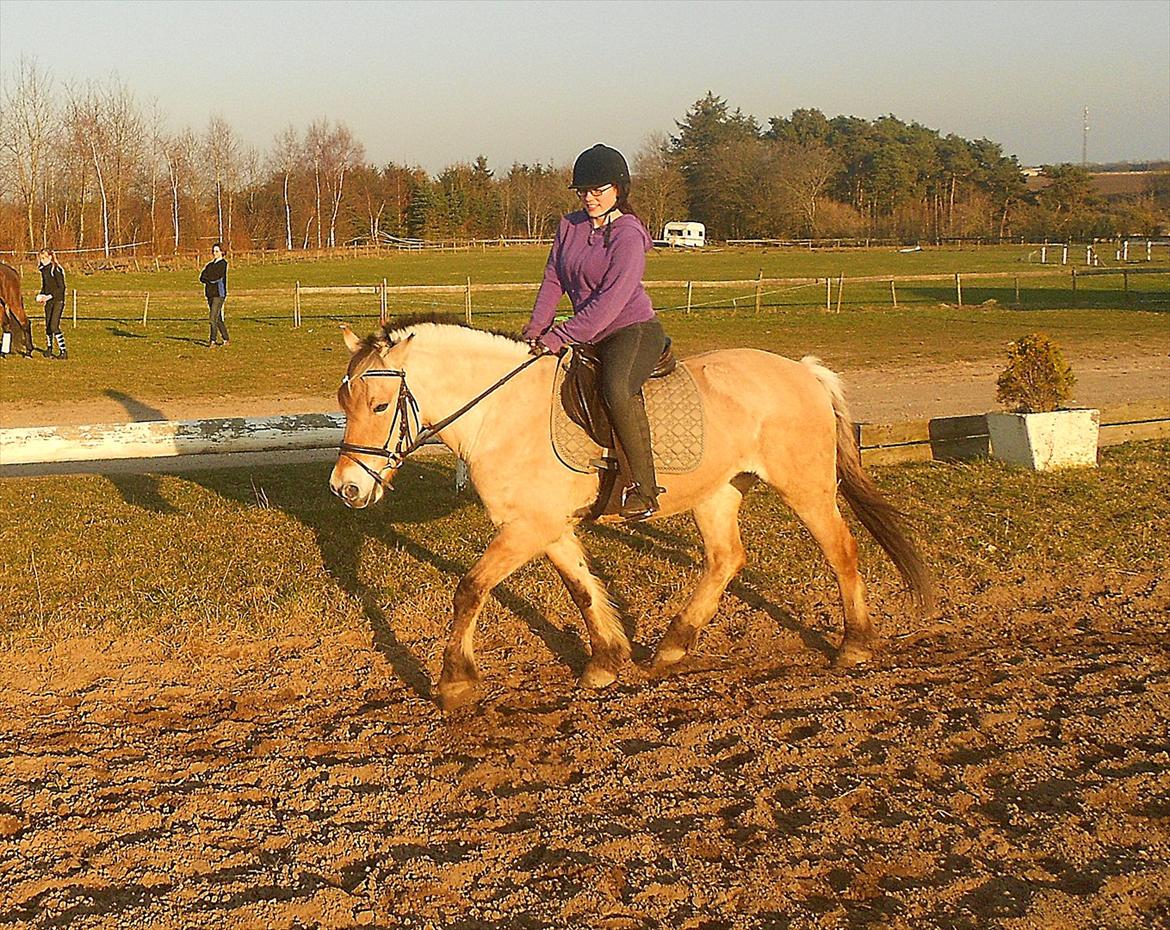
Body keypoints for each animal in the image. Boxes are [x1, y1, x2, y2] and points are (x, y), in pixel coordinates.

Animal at [329, 322, 931, 711]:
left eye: (379, 405)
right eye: (344, 404)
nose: (346, 488)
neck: (501, 413)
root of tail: (804, 372)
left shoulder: (526, 529)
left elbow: (470, 589)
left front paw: (454, 682)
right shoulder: (547, 527)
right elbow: (581, 589)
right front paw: (605, 661)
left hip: (804, 486)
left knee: (840, 549)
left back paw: (854, 645)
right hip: (718, 491)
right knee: (726, 558)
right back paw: (672, 646)